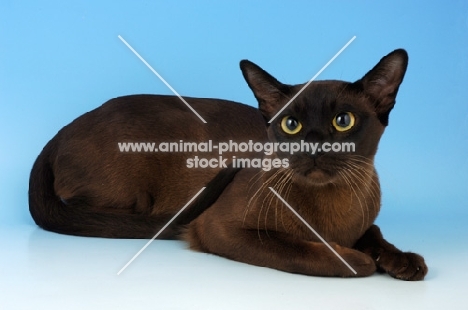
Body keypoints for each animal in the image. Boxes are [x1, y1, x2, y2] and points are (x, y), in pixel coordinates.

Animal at [29, 48, 428, 280]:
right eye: (291, 124)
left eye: (343, 121)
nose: (313, 144)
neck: (334, 209)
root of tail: (61, 131)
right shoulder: (222, 229)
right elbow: (298, 250)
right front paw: (358, 262)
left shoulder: (364, 223)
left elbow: (375, 234)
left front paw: (403, 261)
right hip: (134, 197)